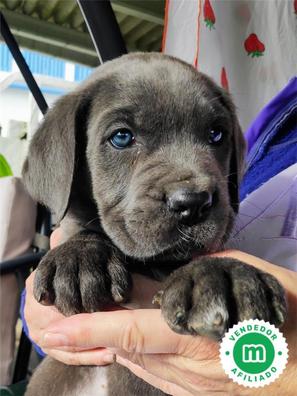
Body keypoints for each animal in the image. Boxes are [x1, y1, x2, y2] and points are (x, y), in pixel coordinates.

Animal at [22, 52, 286, 396]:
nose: (192, 202)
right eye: (121, 137)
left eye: (216, 134)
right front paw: (77, 258)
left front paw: (224, 277)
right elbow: (78, 228)